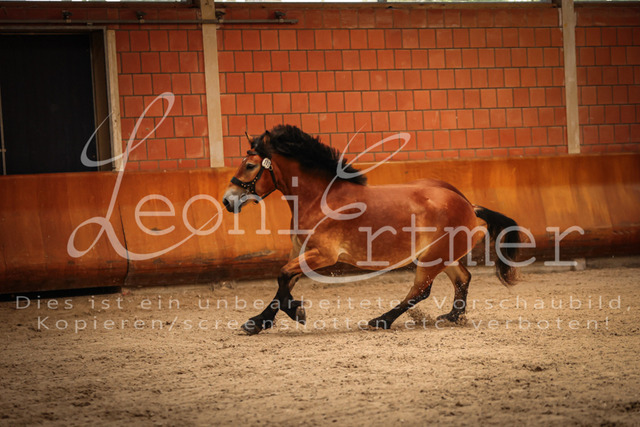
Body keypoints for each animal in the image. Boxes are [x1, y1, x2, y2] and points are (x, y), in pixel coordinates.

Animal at [222, 125, 521, 335]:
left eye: (250, 165)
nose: (227, 201)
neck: (319, 199)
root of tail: (469, 205)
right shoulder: (301, 252)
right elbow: (283, 283)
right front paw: (257, 322)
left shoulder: (322, 255)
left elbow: (283, 277)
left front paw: (296, 313)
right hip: (441, 256)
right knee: (462, 279)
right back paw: (452, 317)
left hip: (433, 257)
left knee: (421, 290)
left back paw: (381, 320)